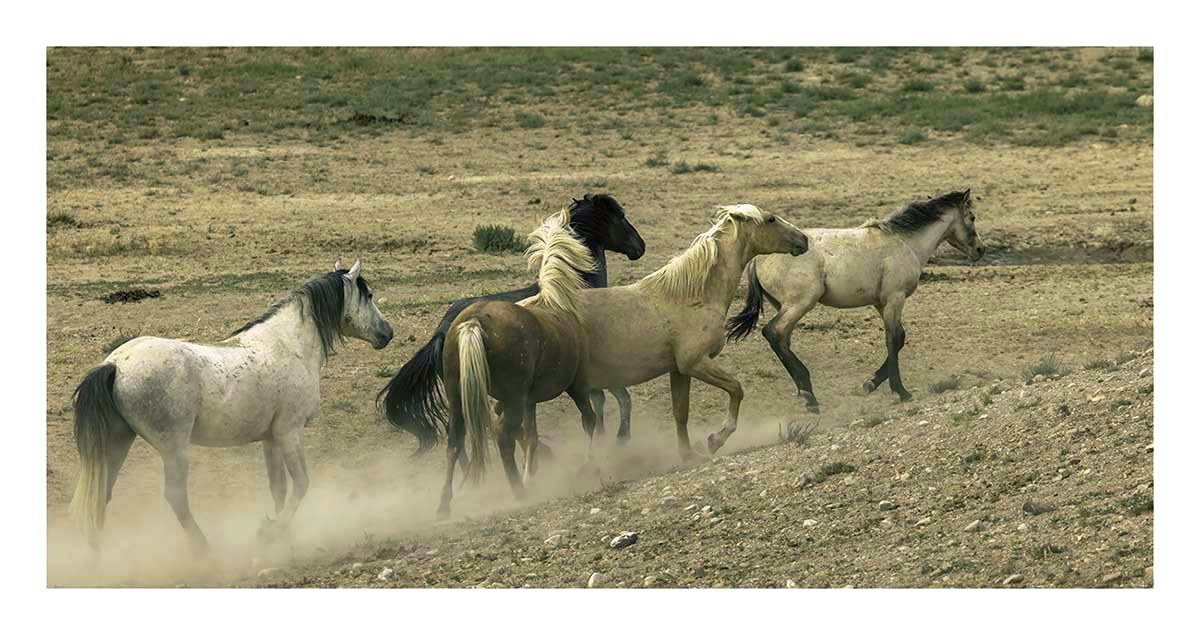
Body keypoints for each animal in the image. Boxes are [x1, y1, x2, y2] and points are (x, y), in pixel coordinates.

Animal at [68, 260, 394, 554]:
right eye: (369, 295)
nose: (387, 333)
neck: (289, 345)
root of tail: (115, 365)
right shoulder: (290, 432)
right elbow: (301, 484)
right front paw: (272, 532)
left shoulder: (271, 439)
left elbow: (279, 490)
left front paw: (280, 534)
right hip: (174, 449)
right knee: (175, 497)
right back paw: (203, 548)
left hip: (118, 443)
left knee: (101, 494)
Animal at [378, 194, 646, 455]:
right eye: (620, 216)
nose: (640, 247)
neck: (570, 288)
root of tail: (442, 331)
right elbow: (619, 398)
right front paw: (620, 438)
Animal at [437, 209, 598, 517]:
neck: (554, 303)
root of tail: (474, 322)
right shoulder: (577, 385)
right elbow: (590, 421)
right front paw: (587, 464)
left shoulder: (528, 400)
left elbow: (532, 436)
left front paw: (533, 473)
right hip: (513, 399)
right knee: (503, 438)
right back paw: (519, 492)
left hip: (458, 397)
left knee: (454, 443)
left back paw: (444, 505)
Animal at [570, 204, 809, 459]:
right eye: (771, 219)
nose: (803, 239)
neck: (690, 297)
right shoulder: (695, 363)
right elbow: (736, 389)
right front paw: (715, 439)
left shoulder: (679, 370)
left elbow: (681, 413)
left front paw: (687, 454)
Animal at [725, 189, 983, 411]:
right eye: (972, 216)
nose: (980, 250)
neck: (904, 242)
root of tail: (757, 258)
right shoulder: (895, 298)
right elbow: (893, 340)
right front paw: (901, 391)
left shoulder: (881, 303)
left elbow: (899, 339)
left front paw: (870, 384)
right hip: (800, 303)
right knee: (774, 332)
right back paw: (809, 395)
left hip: (785, 306)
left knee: (783, 340)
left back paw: (805, 394)